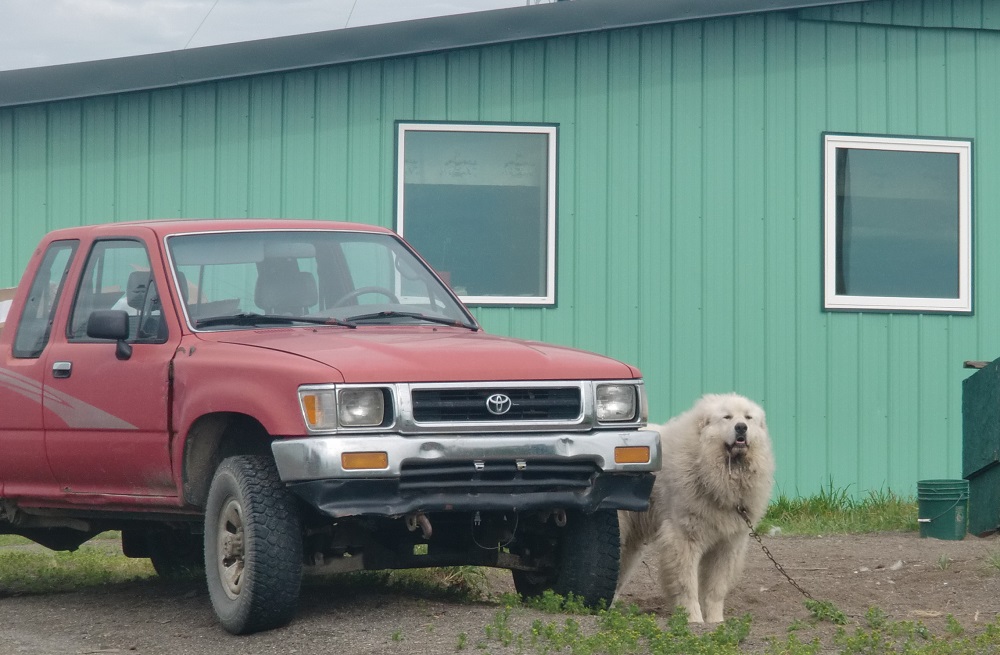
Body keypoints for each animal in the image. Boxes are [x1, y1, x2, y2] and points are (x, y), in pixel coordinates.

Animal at [617, 393, 775, 623]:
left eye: (748, 417)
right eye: (727, 417)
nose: (741, 428)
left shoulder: (726, 545)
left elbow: (716, 589)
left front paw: (716, 621)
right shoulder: (684, 539)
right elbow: (687, 585)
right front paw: (693, 619)